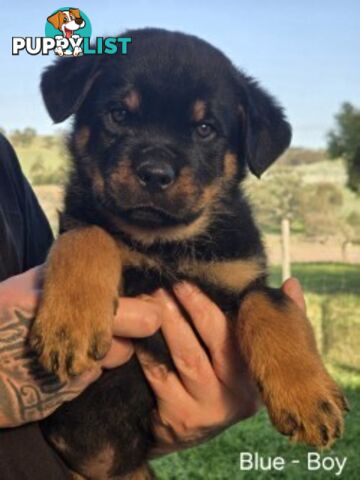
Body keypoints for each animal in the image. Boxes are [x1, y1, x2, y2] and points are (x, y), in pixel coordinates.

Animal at [32, 28, 348, 478]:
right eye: (119, 114)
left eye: (204, 128)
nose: (154, 174)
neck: (165, 242)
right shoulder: (80, 223)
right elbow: (89, 235)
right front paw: (68, 327)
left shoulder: (242, 275)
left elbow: (271, 306)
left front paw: (308, 399)